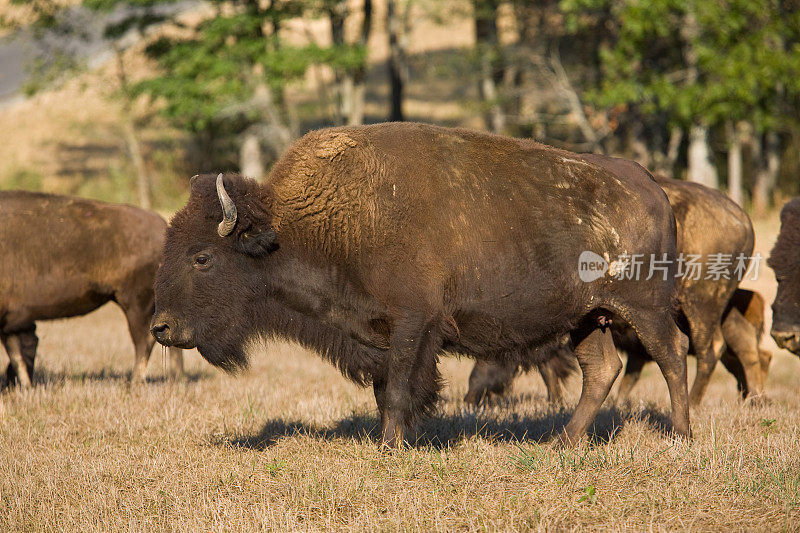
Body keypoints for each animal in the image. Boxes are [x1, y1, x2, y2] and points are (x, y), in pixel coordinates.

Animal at [0, 189, 183, 384]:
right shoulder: (13, 322)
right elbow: (17, 355)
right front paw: (25, 385)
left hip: (134, 303)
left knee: (144, 340)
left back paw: (134, 382)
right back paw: (176, 378)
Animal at [153, 121, 692, 444]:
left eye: (202, 257)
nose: (162, 328)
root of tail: (650, 186)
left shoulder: (413, 324)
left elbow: (398, 389)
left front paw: (390, 447)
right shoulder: (376, 335)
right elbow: (383, 390)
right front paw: (392, 440)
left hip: (645, 310)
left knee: (671, 356)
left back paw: (681, 437)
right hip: (587, 318)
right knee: (601, 370)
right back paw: (562, 442)